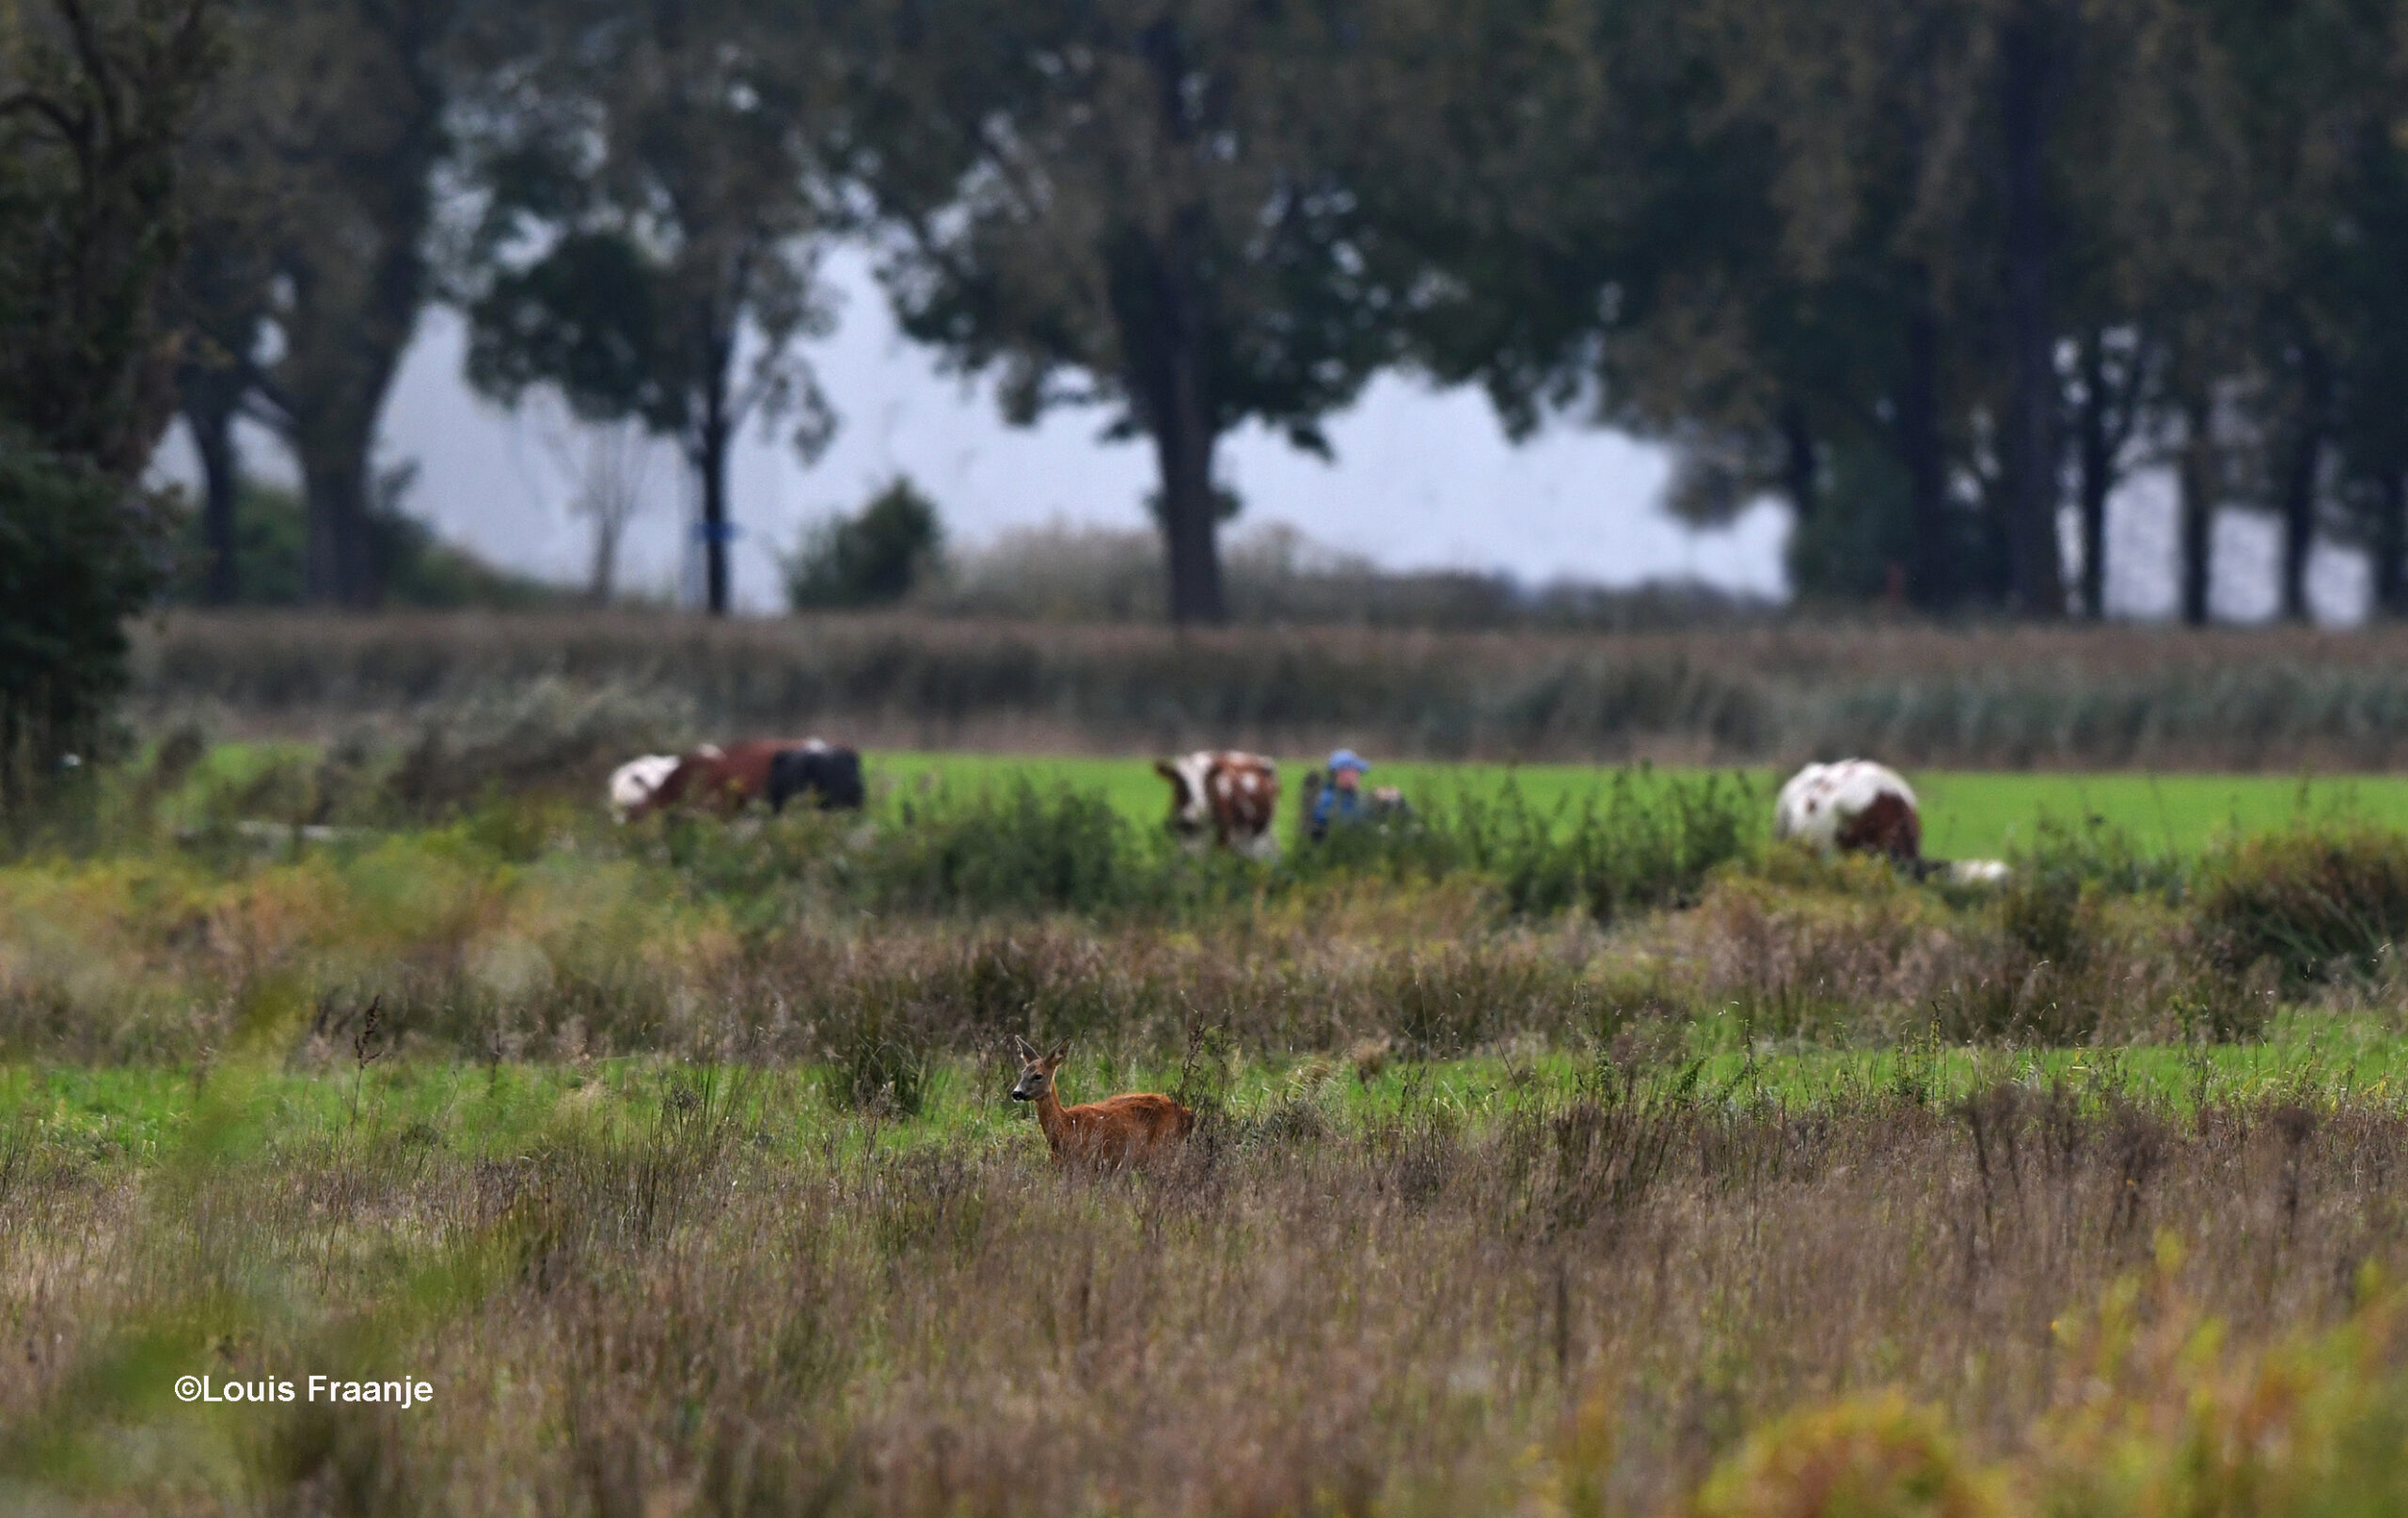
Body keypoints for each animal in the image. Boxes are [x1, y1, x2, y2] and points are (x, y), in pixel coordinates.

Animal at [1011, 1040, 1198, 1171]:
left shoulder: (1089, 1163)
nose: (1016, 1093)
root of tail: (1188, 1114)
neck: (1067, 1126)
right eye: (1022, 1073)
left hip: (1164, 1149)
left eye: (1038, 1075)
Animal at [1160, 756, 1291, 862]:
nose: (1200, 808)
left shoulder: (1223, 842)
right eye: (1181, 782)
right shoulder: (1184, 844)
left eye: (1207, 782)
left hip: (1261, 837)